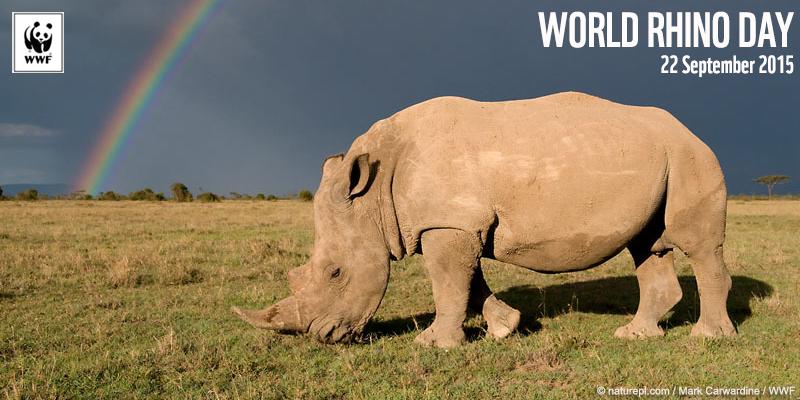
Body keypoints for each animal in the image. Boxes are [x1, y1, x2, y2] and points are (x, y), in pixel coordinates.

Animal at [233, 92, 735, 348]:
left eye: (336, 273)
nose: (323, 337)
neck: (372, 195)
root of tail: (691, 130)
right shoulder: (455, 223)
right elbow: (469, 284)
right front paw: (504, 327)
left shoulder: (447, 223)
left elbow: (448, 284)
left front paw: (432, 345)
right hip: (661, 157)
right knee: (647, 244)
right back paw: (634, 335)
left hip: (690, 155)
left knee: (697, 245)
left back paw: (708, 337)